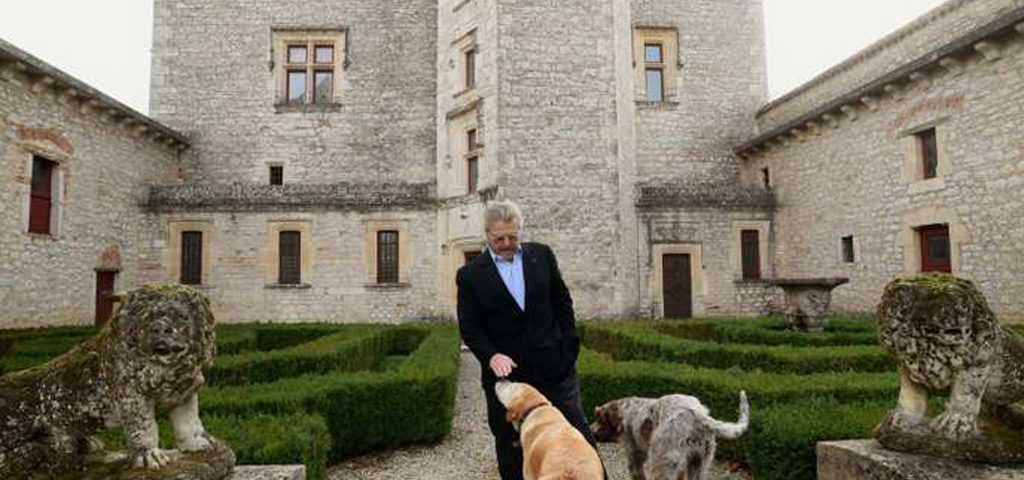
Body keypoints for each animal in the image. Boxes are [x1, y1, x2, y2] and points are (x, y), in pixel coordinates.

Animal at [593, 388, 745, 478]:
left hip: (663, 463)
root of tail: (697, 414)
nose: (591, 431)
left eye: (599, 420)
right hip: (698, 464)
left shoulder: (634, 456)